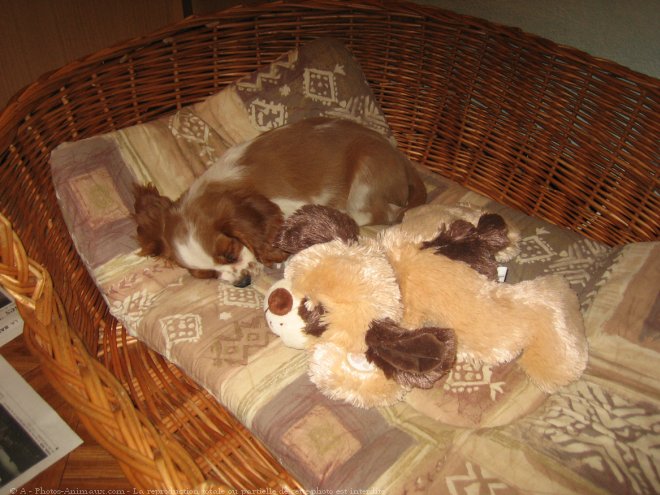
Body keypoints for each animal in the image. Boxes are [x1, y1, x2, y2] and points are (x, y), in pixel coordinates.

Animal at [133, 117, 428, 286]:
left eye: (230, 254)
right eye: (207, 276)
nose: (242, 283)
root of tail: (400, 156)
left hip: (364, 181)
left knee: (384, 212)